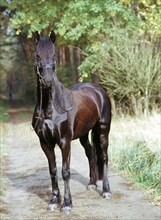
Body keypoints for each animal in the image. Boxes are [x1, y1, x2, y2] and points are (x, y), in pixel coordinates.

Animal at [32, 31, 111, 213]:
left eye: (54, 55)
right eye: (37, 55)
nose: (47, 81)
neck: (51, 108)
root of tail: (98, 90)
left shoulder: (64, 142)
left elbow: (65, 171)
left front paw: (67, 204)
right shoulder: (45, 143)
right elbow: (53, 170)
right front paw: (54, 200)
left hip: (103, 131)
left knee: (104, 157)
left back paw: (106, 191)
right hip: (84, 135)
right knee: (91, 153)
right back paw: (91, 184)